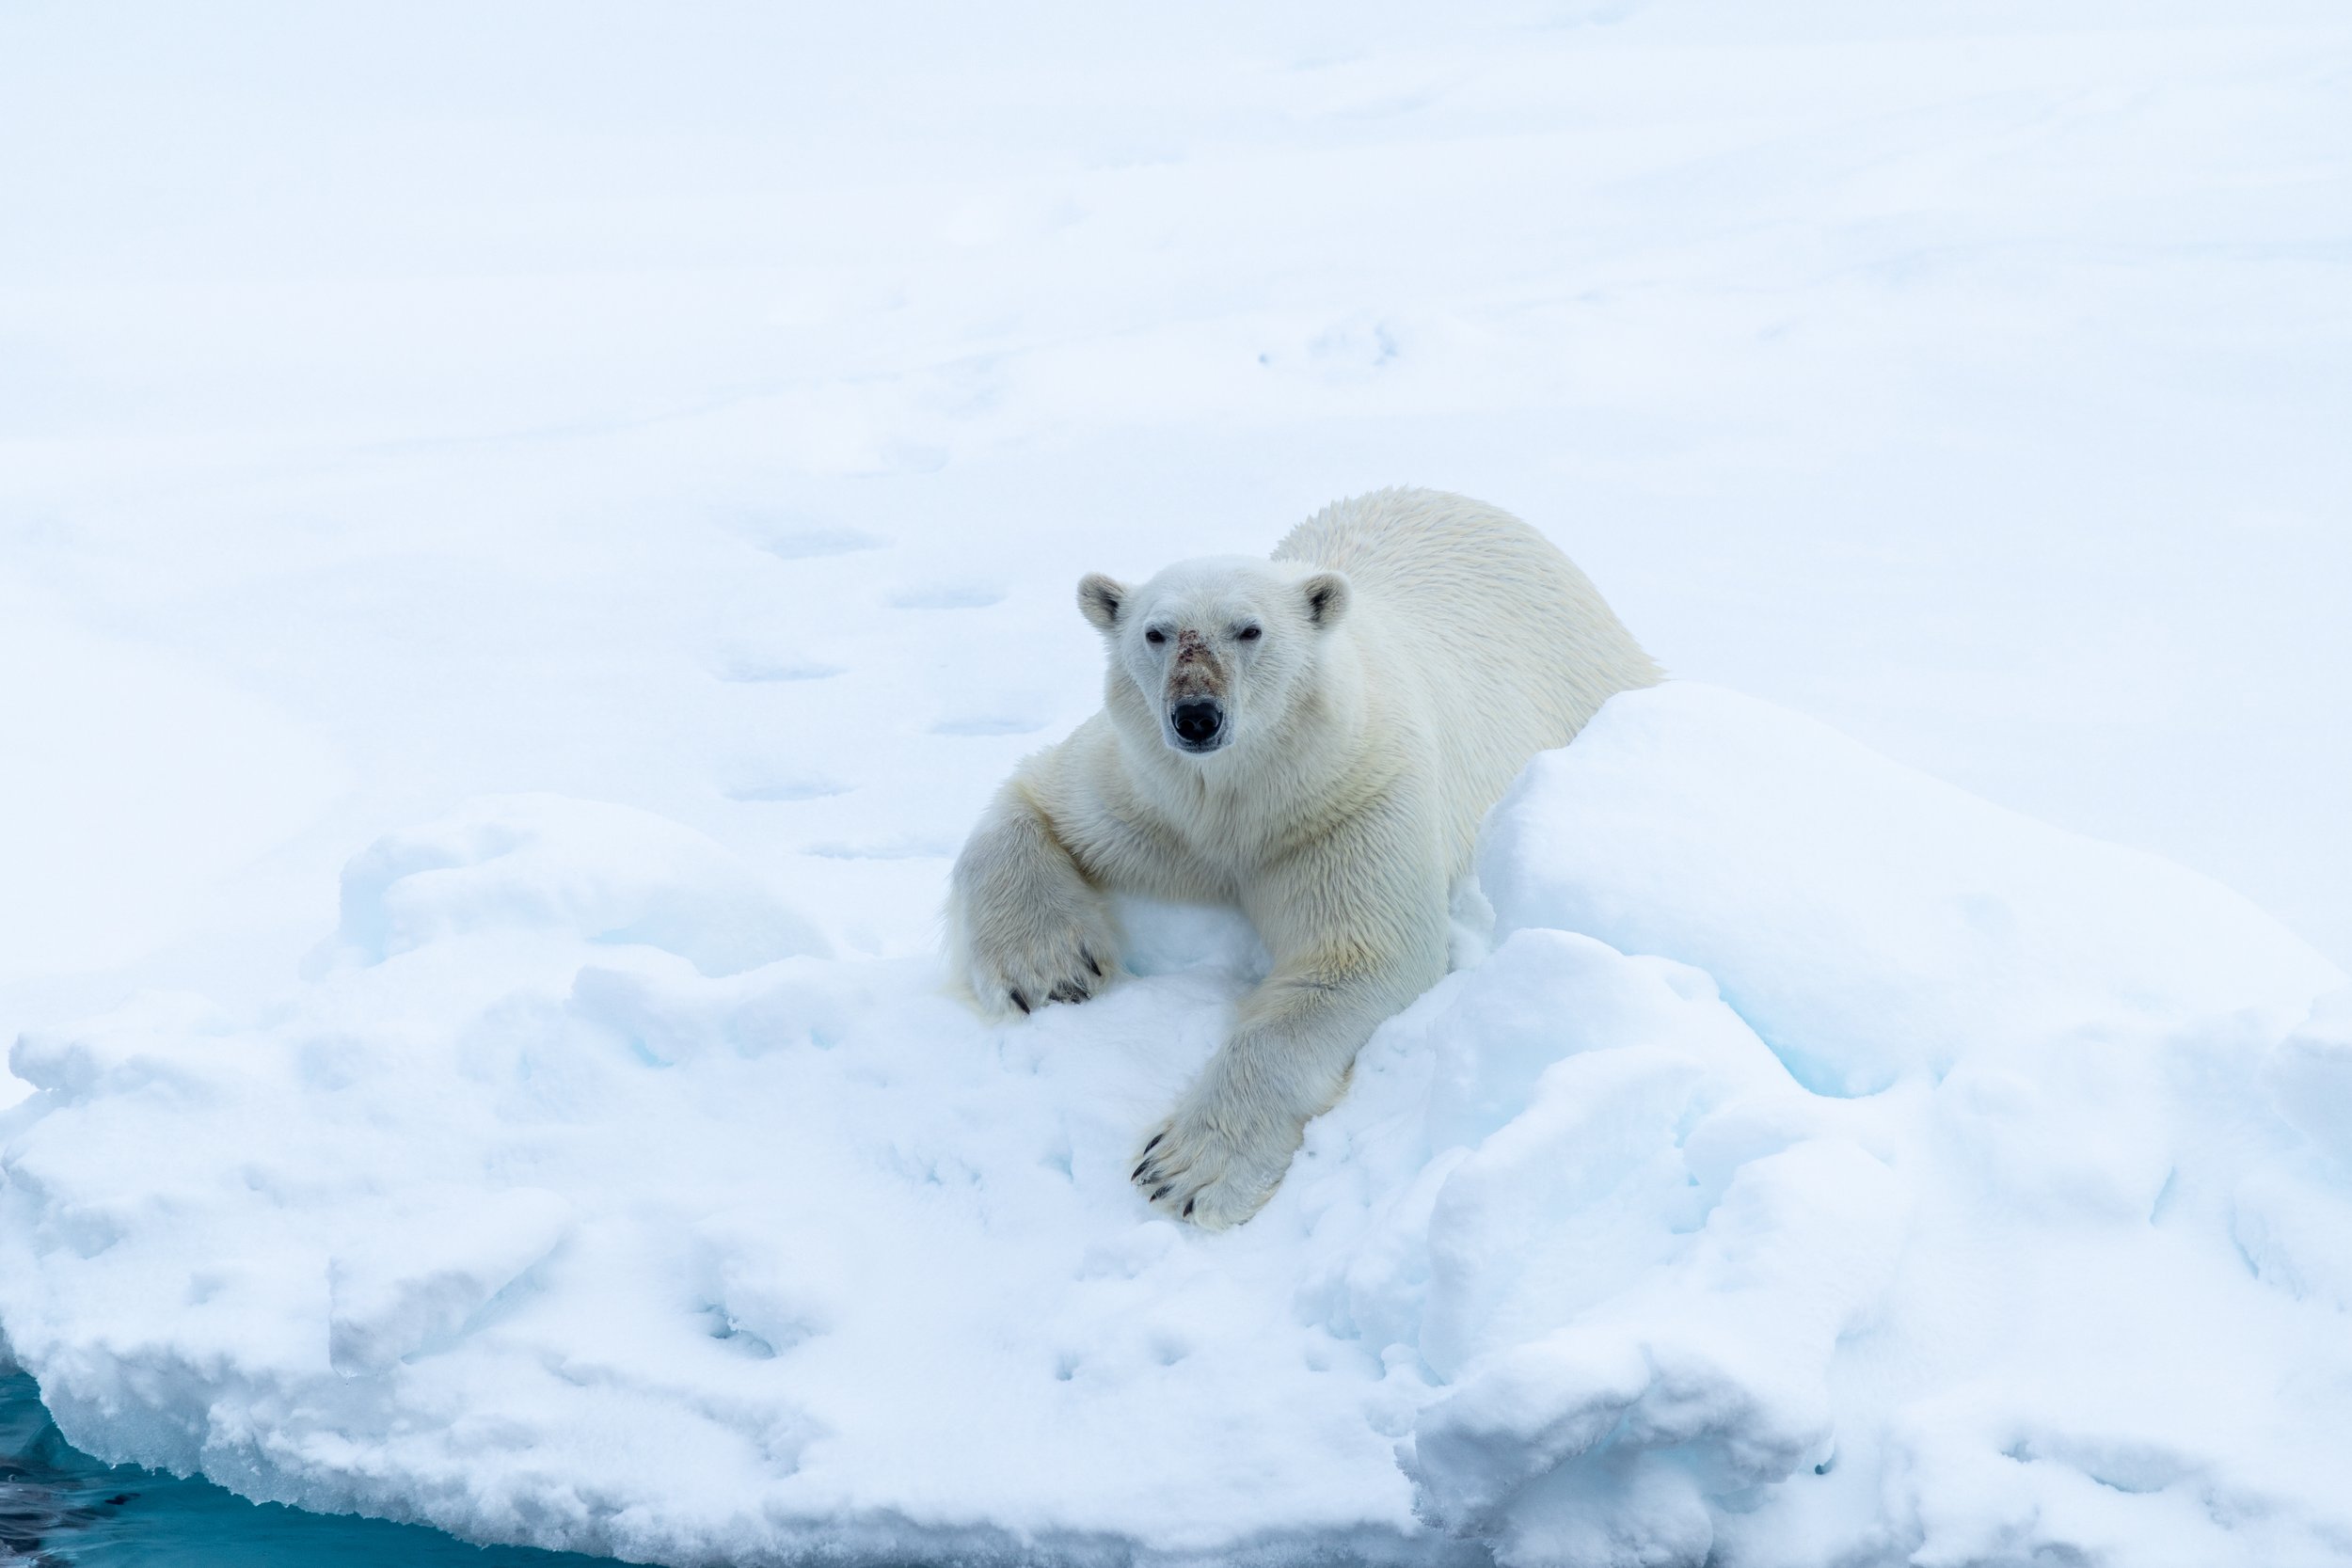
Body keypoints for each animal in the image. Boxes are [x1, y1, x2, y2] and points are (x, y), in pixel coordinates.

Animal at [947, 488, 1661, 1228]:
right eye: (1157, 632)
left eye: (1249, 630)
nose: (1196, 715)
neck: (1241, 799)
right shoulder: (1149, 799)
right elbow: (1034, 795)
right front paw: (1050, 971)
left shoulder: (1346, 800)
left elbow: (1355, 958)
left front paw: (1186, 1169)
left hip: (1584, 676)